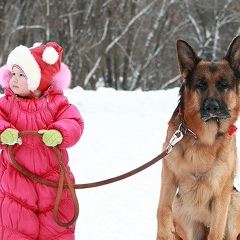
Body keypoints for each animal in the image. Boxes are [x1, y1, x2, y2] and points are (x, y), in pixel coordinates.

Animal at [157, 36, 240, 240]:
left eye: (223, 84)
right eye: (200, 85)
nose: (212, 108)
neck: (203, 139)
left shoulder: (222, 192)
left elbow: (217, 230)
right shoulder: (169, 173)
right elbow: (162, 209)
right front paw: (165, 231)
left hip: (235, 201)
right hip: (181, 209)